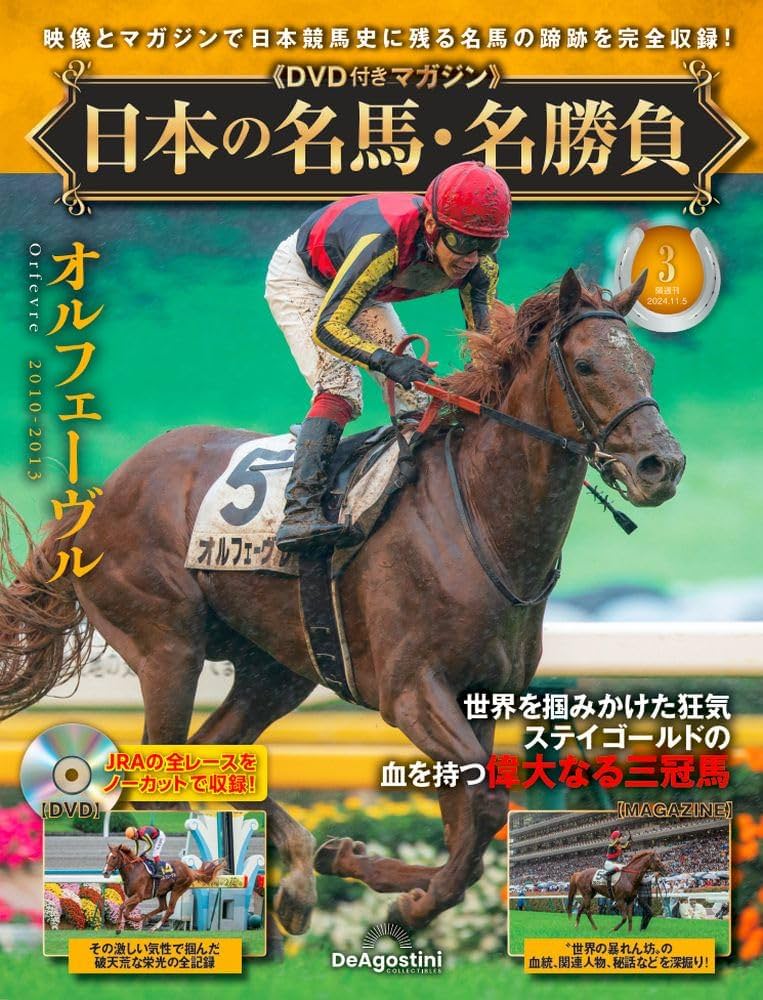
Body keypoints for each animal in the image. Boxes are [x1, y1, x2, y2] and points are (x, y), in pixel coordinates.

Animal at [0, 268, 685, 935]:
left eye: (648, 362)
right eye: (587, 364)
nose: (663, 464)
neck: (479, 522)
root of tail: (93, 501)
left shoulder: (480, 696)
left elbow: (466, 821)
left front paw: (371, 868)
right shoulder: (410, 691)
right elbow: (487, 805)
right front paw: (413, 902)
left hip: (275, 669)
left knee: (214, 752)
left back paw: (306, 869)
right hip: (169, 648)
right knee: (163, 767)